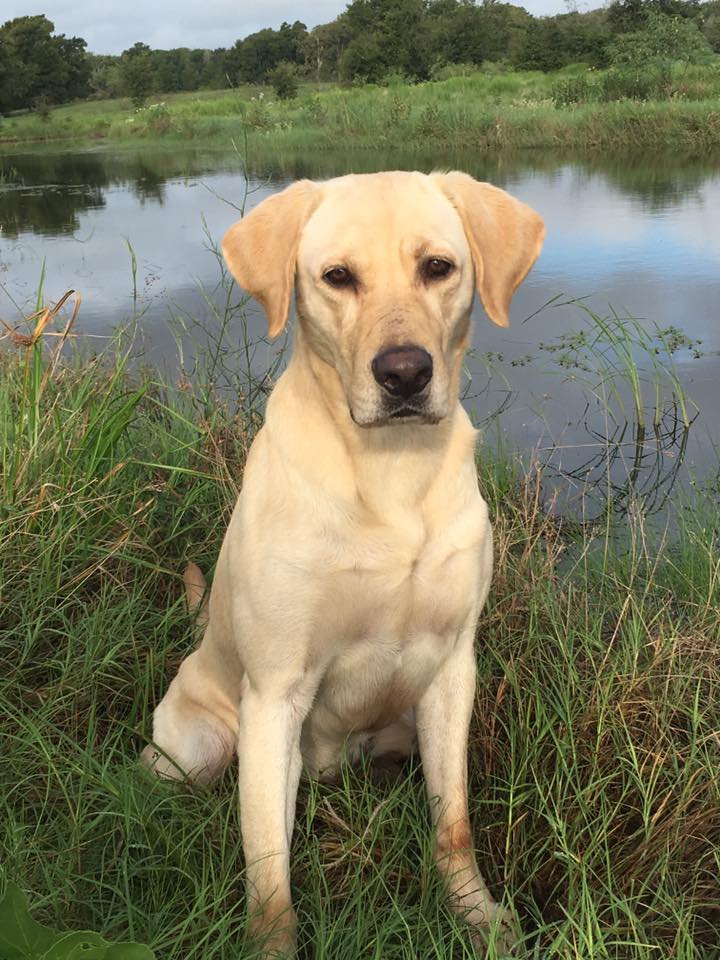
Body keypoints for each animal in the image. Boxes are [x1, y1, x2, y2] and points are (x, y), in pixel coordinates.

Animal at [142, 169, 544, 956]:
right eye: (337, 277)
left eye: (438, 267)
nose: (405, 373)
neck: (392, 473)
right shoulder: (274, 694)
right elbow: (269, 866)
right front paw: (273, 942)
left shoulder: (452, 671)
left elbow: (453, 825)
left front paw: (480, 917)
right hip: (199, 745)